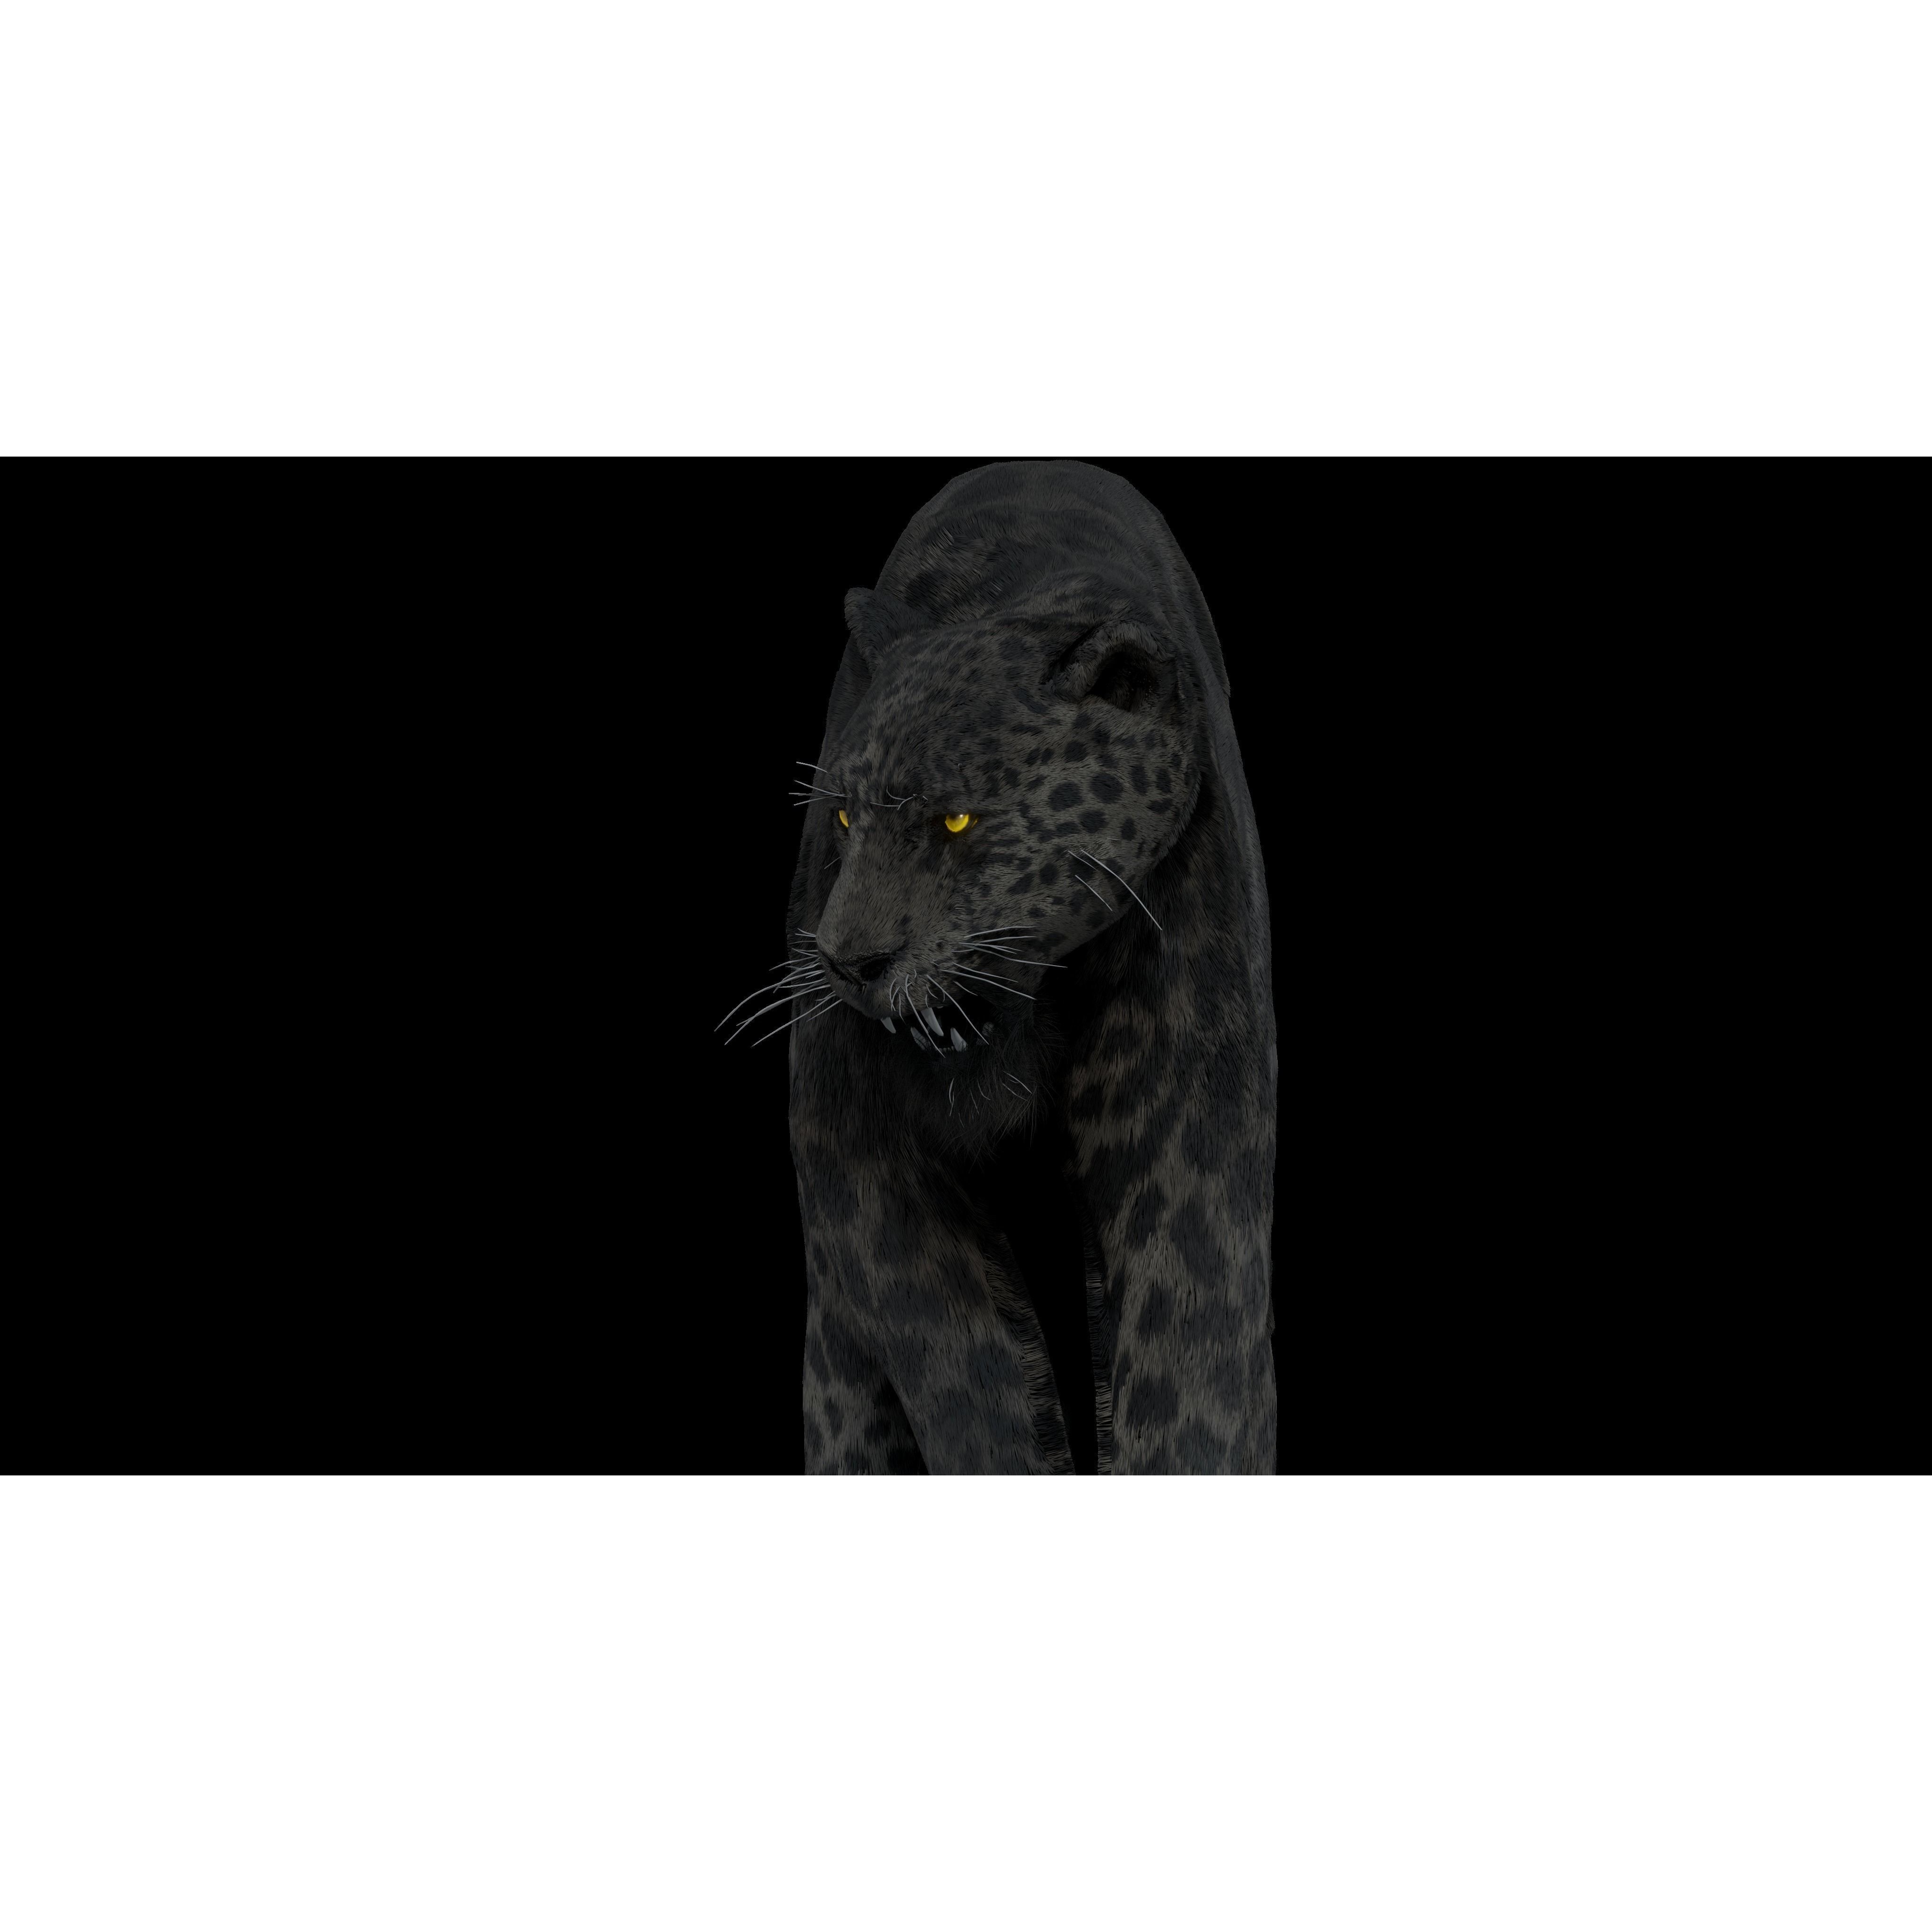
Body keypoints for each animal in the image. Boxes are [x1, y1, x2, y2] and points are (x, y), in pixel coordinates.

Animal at [741, 460, 1277, 1473]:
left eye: (957, 820)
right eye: (843, 817)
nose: (848, 963)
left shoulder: (1187, 1155)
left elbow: (1194, 1371)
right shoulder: (863, 1167)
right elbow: (971, 1382)